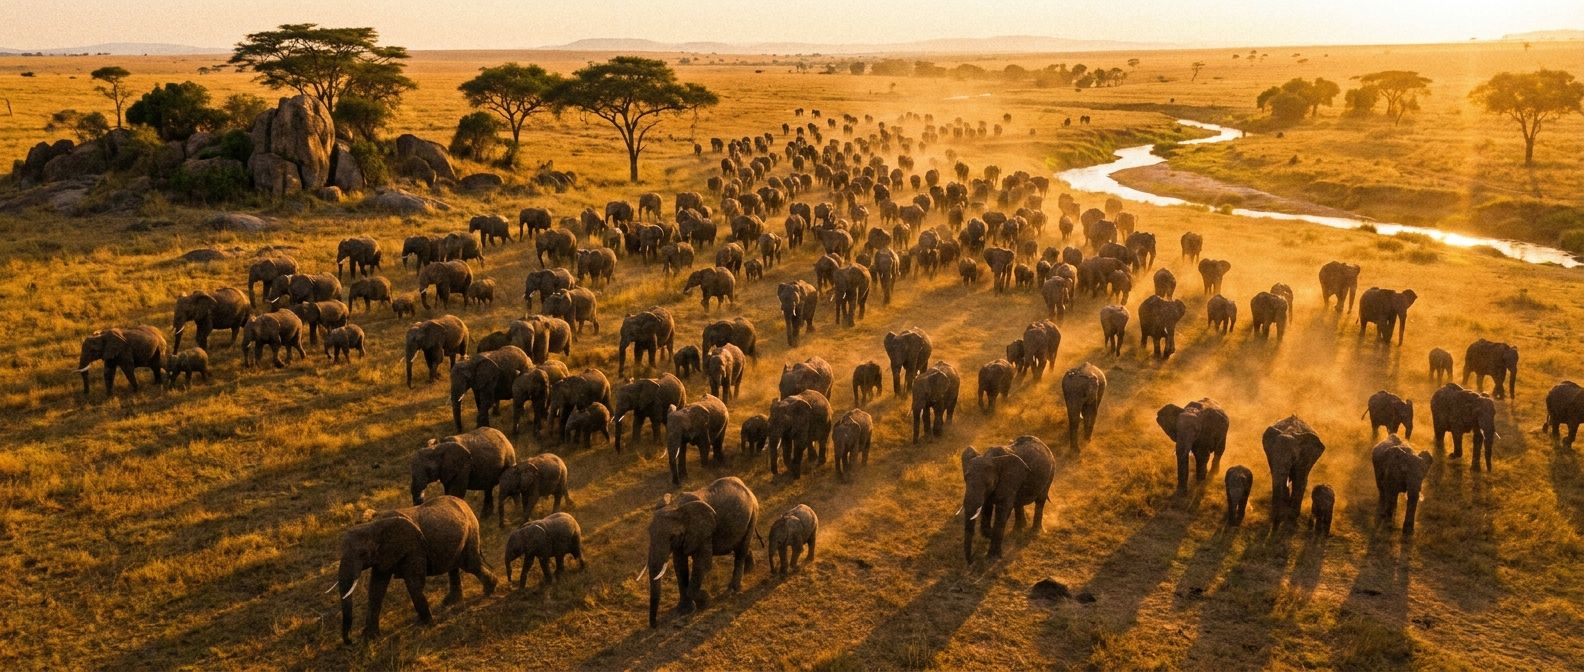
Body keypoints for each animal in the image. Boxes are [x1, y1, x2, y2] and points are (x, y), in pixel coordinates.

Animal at [335, 496, 496, 644]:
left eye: (363, 554)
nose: (350, 641)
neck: (374, 525)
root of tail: (464, 503)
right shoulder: (383, 555)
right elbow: (376, 588)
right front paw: (370, 638)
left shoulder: (414, 548)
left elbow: (413, 583)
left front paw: (425, 625)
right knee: (455, 566)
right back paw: (453, 601)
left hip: (471, 531)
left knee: (471, 564)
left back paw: (489, 590)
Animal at [644, 477, 759, 628]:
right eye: (649, 533)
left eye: (671, 537)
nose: (655, 625)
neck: (677, 507)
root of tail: (747, 488)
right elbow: (679, 566)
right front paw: (685, 610)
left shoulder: (704, 532)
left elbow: (702, 564)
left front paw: (705, 600)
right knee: (740, 547)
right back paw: (749, 570)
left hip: (753, 515)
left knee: (740, 551)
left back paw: (733, 590)